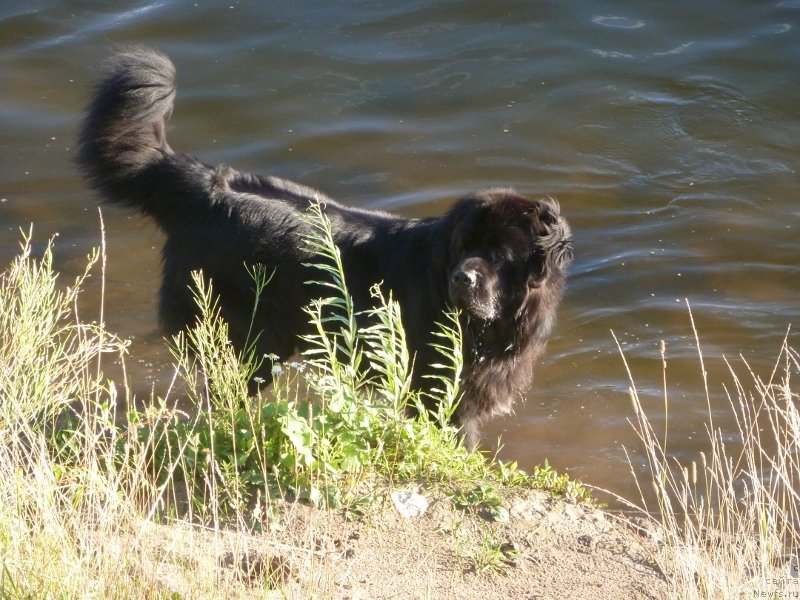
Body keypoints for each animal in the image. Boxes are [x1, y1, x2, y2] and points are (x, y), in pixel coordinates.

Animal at [78, 49, 572, 448]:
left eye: (499, 256)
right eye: (462, 249)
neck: (492, 327)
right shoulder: (436, 391)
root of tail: (204, 188)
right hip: (247, 338)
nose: (461, 278)